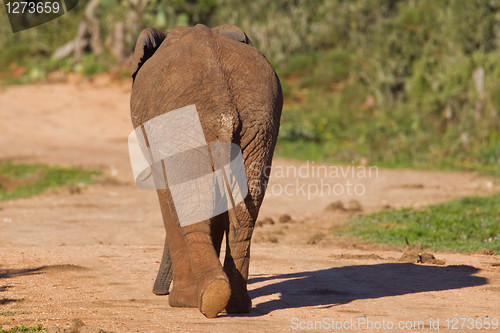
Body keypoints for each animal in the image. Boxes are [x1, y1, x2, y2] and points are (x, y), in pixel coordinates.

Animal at [130, 22, 282, 316]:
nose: (158, 290)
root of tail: (222, 102)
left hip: (182, 124)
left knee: (191, 201)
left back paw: (193, 299)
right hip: (259, 125)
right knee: (246, 210)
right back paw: (232, 302)